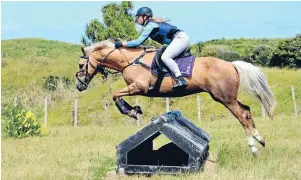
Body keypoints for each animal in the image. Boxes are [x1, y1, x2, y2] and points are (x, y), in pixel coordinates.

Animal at [75, 39, 274, 156]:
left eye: (80, 65)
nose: (79, 85)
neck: (130, 61)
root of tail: (231, 64)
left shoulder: (139, 87)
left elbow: (115, 95)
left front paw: (132, 111)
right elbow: (116, 95)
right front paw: (135, 110)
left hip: (225, 98)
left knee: (242, 116)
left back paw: (253, 148)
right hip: (226, 97)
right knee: (247, 111)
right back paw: (261, 139)